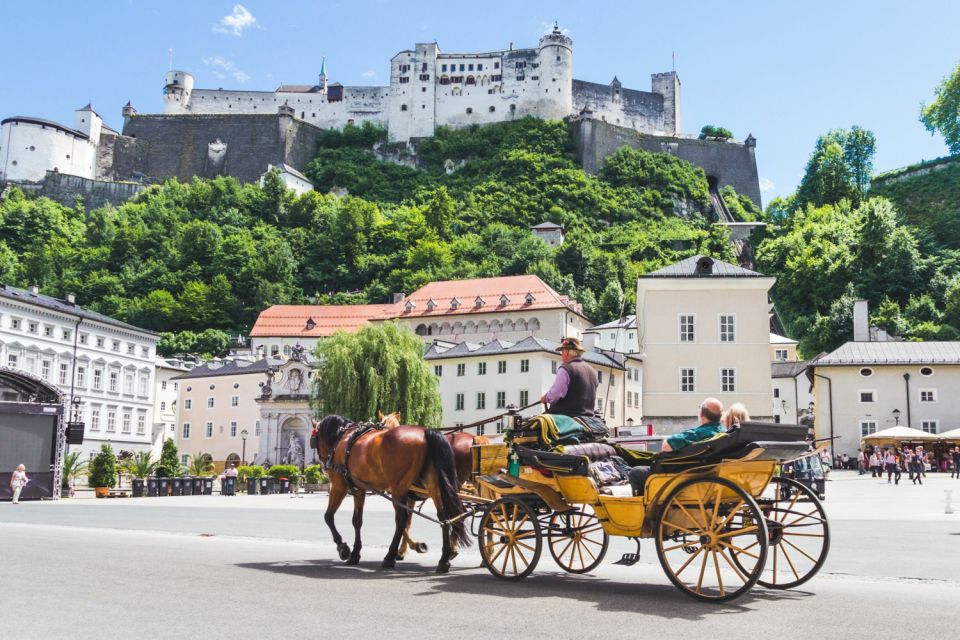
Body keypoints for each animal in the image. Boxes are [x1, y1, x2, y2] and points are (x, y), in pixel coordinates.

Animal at [314, 416, 470, 576]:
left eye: (314, 440)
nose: (323, 466)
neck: (343, 437)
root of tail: (425, 432)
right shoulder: (359, 490)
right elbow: (357, 521)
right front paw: (355, 554)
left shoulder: (339, 486)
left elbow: (328, 516)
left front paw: (343, 548)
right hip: (434, 486)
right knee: (444, 518)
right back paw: (444, 559)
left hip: (398, 488)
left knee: (401, 520)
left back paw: (389, 558)